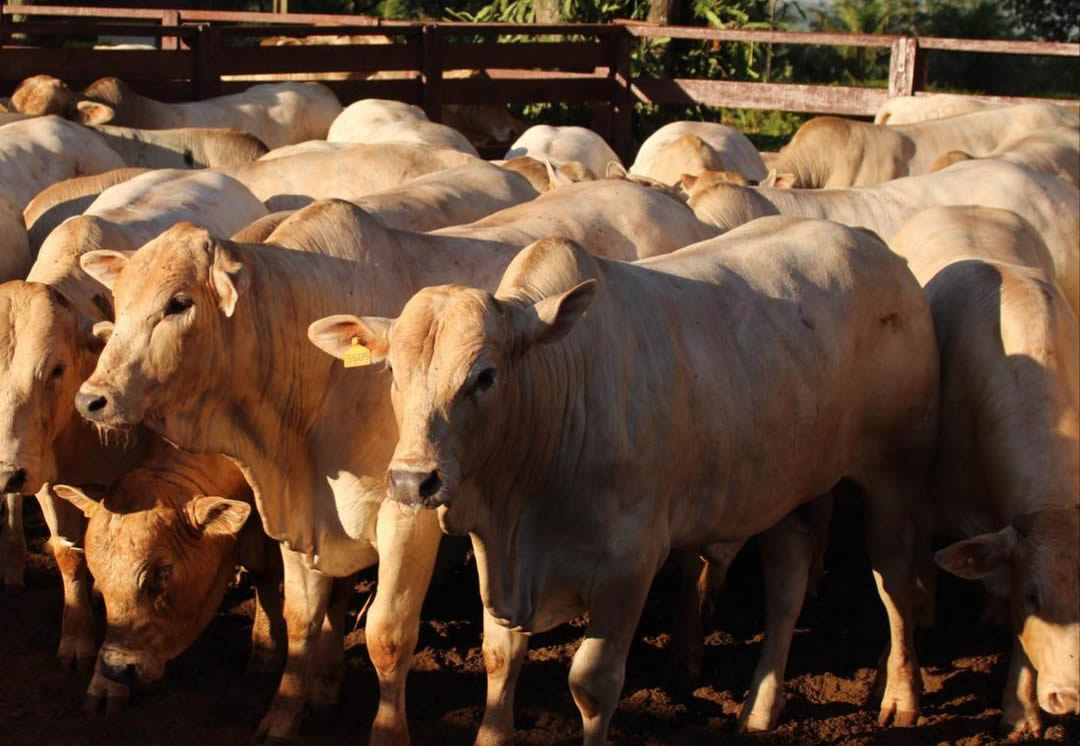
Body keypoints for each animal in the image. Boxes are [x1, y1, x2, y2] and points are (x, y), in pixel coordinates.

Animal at [311, 219, 937, 742]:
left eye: (484, 376)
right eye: (393, 372)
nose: (413, 480)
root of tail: (875, 246)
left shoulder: (628, 566)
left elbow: (592, 686)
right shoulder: (504, 561)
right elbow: (500, 657)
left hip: (896, 475)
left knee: (895, 585)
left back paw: (902, 699)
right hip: (780, 488)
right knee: (788, 581)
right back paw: (760, 709)